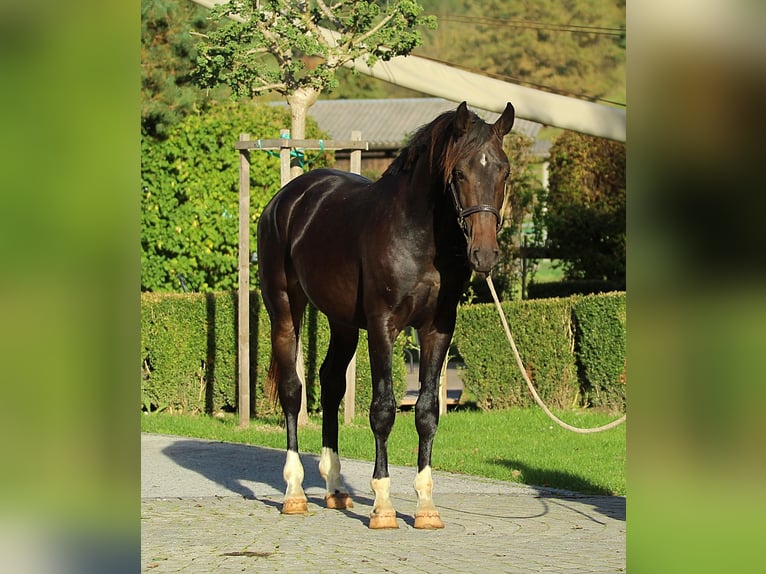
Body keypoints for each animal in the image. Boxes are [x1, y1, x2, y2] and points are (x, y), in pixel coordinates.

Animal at [257, 101, 515, 529]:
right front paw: (382, 505)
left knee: (331, 383)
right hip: (284, 309)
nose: (484, 254)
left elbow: (426, 412)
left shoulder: (438, 330)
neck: (418, 236)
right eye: (459, 172)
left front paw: (426, 507)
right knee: (293, 391)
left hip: (343, 323)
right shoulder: (382, 327)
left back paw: (334, 487)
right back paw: (295, 492)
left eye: (504, 171)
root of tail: (287, 198)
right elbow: (383, 410)